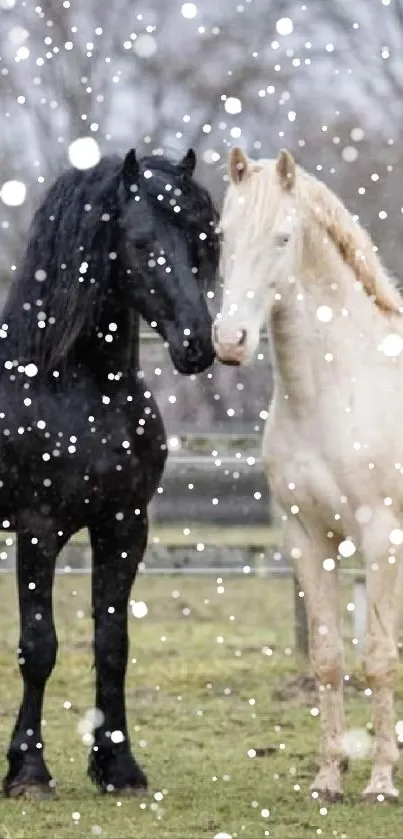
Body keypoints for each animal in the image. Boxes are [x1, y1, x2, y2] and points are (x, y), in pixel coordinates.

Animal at [0, 148, 218, 796]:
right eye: (142, 242)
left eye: (202, 239)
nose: (198, 345)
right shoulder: (38, 528)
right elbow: (38, 646)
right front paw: (29, 770)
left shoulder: (124, 525)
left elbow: (113, 642)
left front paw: (118, 766)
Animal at [215, 148, 403, 804]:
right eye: (222, 235)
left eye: (283, 236)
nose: (230, 340)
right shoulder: (307, 537)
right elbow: (326, 655)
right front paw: (328, 778)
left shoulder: (381, 538)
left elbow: (379, 656)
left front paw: (380, 782)